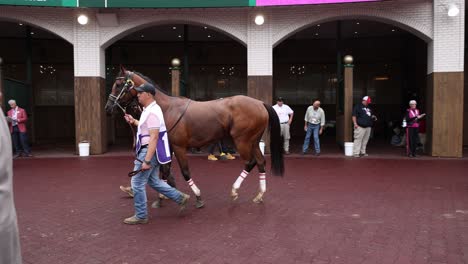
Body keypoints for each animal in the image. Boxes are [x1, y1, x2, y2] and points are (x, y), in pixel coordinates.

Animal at [105, 67, 286, 207]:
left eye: (118, 84)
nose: (108, 107)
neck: (166, 109)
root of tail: (260, 103)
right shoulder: (168, 146)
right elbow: (165, 171)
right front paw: (162, 196)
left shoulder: (179, 146)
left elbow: (185, 172)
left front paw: (198, 196)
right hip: (253, 141)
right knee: (261, 162)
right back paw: (259, 195)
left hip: (242, 140)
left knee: (250, 162)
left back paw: (234, 191)